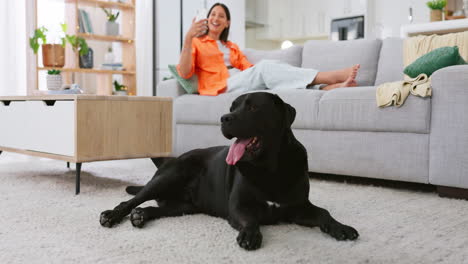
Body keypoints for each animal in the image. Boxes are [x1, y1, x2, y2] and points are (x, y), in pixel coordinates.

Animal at [99, 92, 358, 250]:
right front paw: (250, 235)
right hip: (169, 176)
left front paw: (341, 228)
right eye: (231, 107)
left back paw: (142, 215)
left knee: (157, 208)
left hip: (184, 206)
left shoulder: (298, 207)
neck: (269, 167)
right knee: (131, 201)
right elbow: (250, 219)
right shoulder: (239, 206)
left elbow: (323, 212)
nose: (224, 118)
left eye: (253, 107)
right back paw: (112, 215)